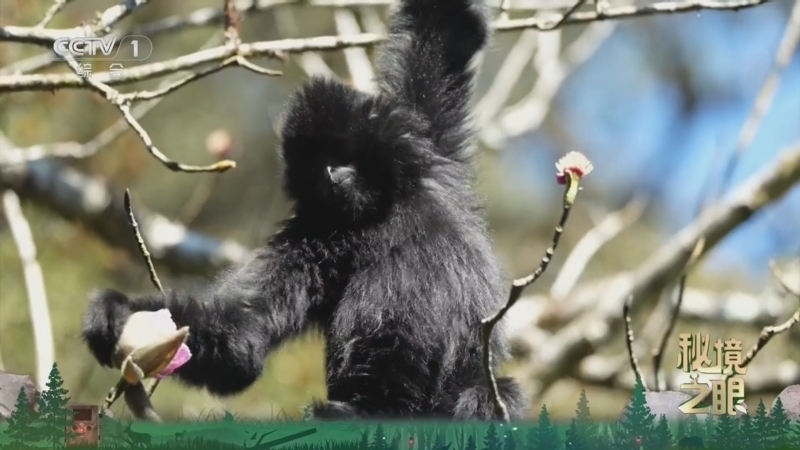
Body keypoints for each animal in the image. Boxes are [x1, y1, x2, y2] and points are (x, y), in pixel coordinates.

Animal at [82, 0, 526, 420]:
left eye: (345, 153)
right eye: (320, 161)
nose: (334, 174)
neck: (379, 218)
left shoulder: (432, 156)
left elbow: (445, 25)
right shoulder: (314, 235)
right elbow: (243, 335)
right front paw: (117, 313)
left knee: (489, 394)